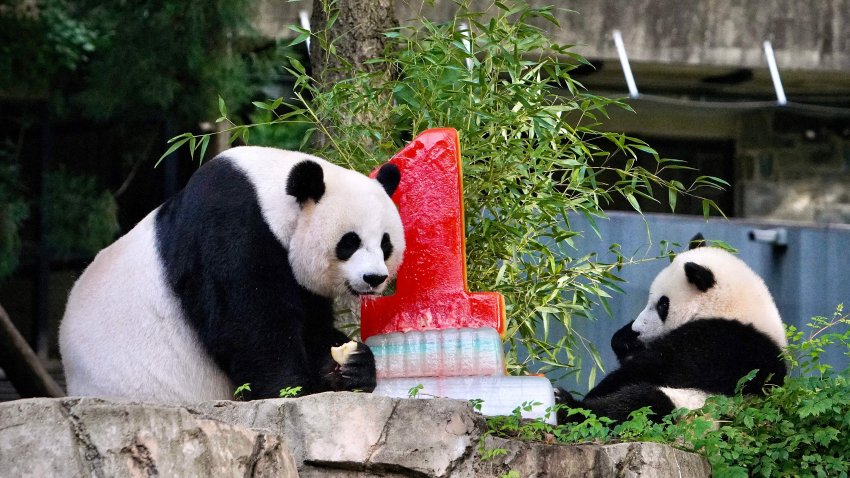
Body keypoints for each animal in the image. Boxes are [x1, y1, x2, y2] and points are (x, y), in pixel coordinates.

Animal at [59, 147, 404, 404]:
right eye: (349, 242)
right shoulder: (229, 227)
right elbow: (249, 322)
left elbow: (310, 325)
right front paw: (291, 390)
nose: (374, 278)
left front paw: (354, 366)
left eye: (385, 244)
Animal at [560, 238, 784, 422]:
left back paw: (568, 406)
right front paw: (624, 339)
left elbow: (659, 367)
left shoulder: (723, 344)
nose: (637, 329)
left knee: (639, 405)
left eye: (662, 304)